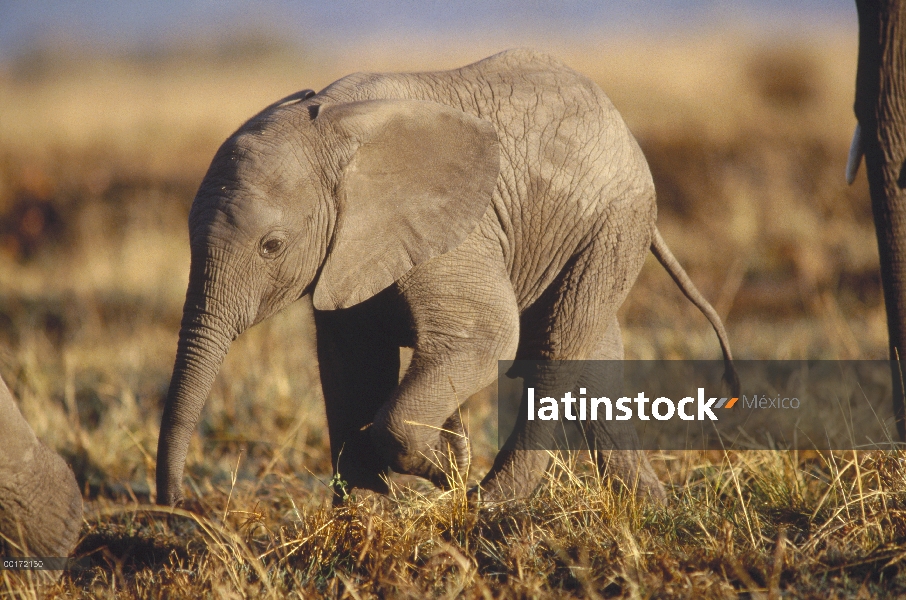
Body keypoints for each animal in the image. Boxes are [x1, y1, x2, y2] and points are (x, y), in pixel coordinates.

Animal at [157, 49, 736, 506]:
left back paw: (493, 502)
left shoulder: (454, 232)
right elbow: (352, 364)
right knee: (591, 358)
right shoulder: (352, 250)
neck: (335, 127)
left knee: (556, 350)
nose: (180, 505)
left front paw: (449, 464)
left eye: (271, 246)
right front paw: (373, 508)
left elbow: (486, 336)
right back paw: (651, 508)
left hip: (613, 221)